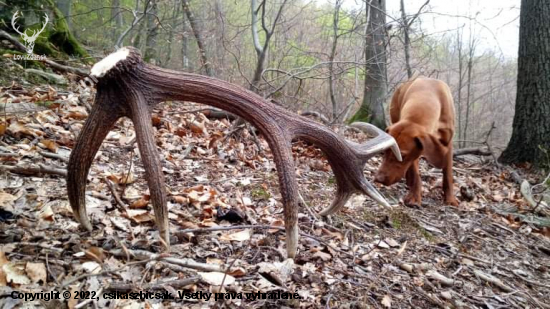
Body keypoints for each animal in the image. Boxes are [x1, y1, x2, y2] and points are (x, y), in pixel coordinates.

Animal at [376, 77, 462, 207]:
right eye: (385, 151)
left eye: (402, 156)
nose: (378, 179)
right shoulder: (415, 152)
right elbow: (416, 174)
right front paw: (414, 197)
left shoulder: (448, 143)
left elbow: (448, 173)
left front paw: (450, 198)